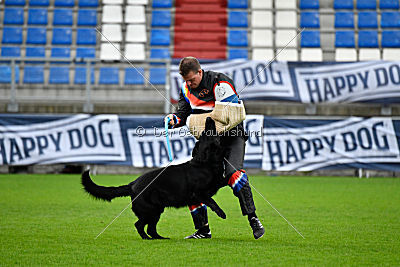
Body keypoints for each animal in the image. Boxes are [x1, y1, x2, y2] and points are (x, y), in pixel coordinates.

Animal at [82, 118, 225, 240]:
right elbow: (211, 201)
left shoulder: (217, 182)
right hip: (151, 210)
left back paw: (160, 238)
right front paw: (221, 213)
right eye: (206, 132)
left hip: (156, 211)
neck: (204, 163)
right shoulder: (199, 193)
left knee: (151, 229)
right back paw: (146, 238)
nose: (208, 118)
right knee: (139, 225)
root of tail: (132, 184)